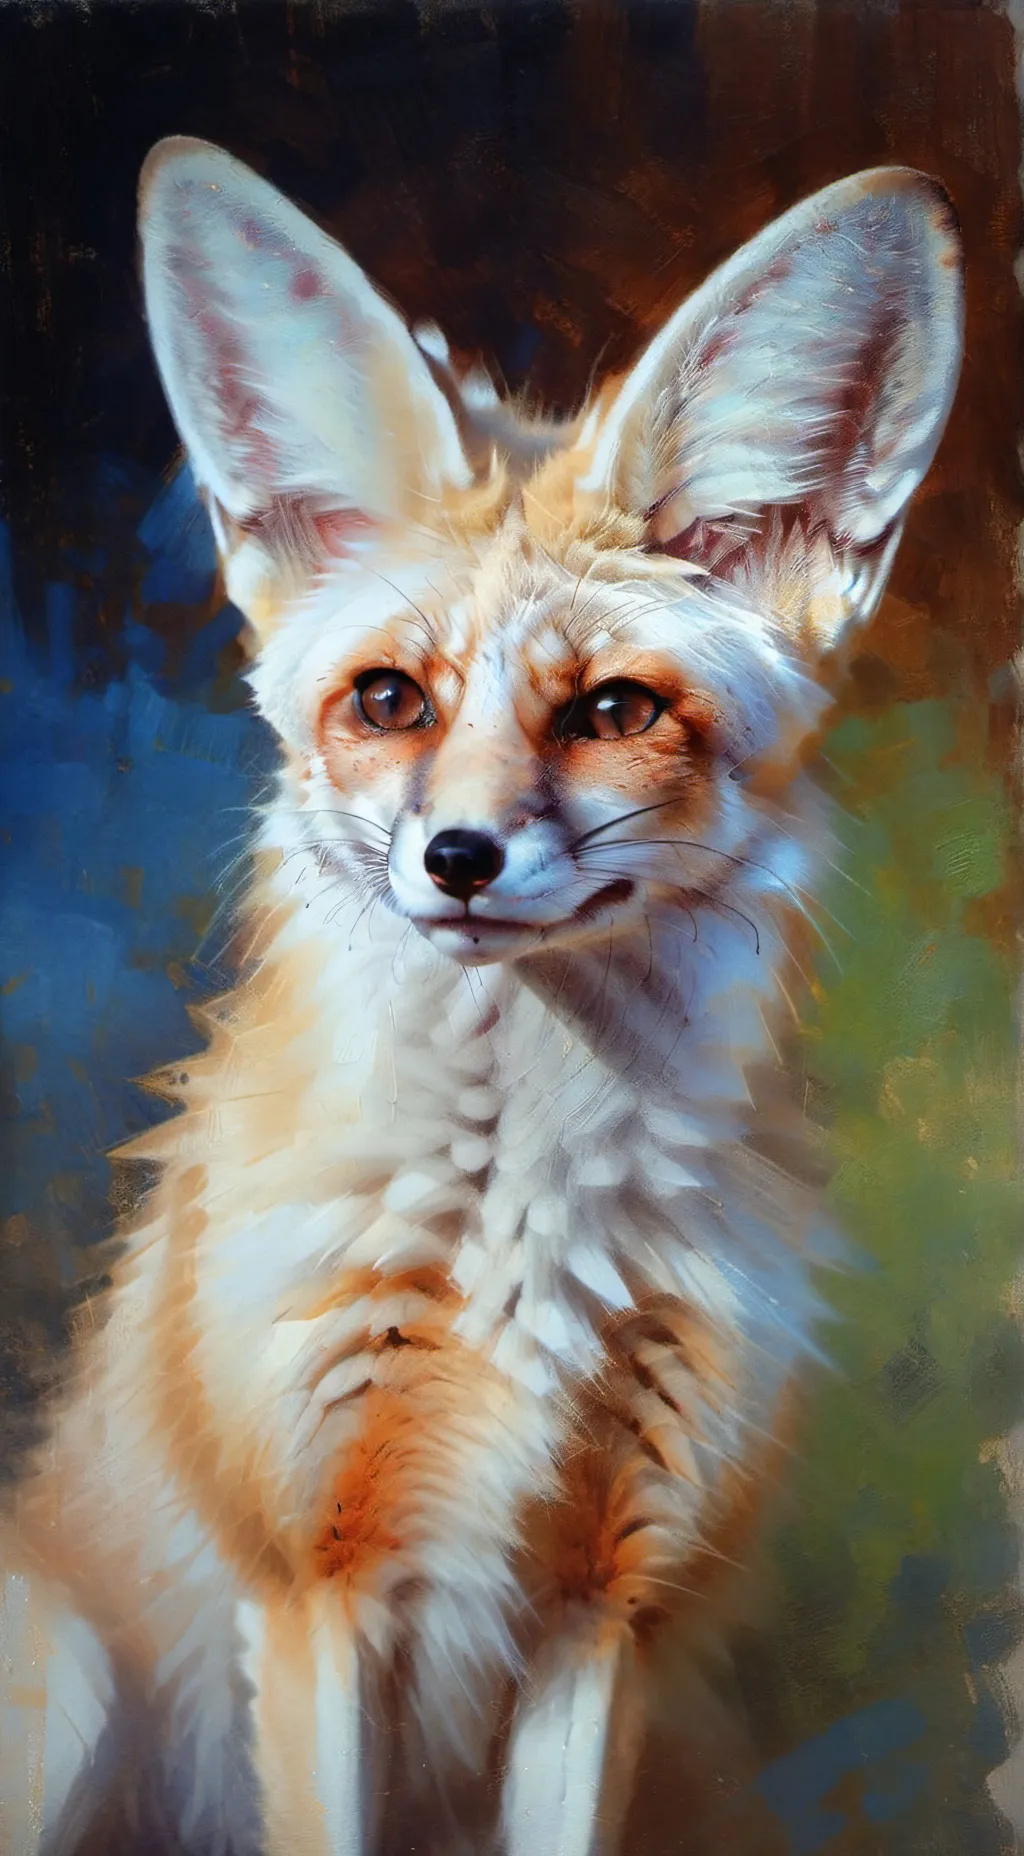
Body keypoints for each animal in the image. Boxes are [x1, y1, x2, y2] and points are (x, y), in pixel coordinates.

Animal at [0, 138, 963, 1856]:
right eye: (391, 700)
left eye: (614, 714)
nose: (457, 858)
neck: (524, 1229)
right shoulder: (311, 1582)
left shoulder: (609, 1610)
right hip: (74, 1694)